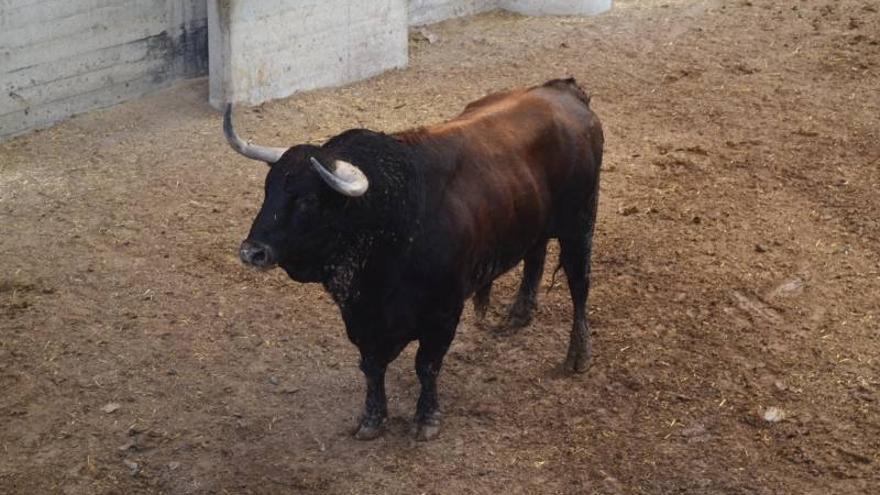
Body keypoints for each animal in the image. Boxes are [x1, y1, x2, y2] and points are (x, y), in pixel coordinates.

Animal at [223, 78, 600, 442]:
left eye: (308, 201)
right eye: (268, 190)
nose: (252, 251)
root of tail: (564, 90)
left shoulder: (444, 312)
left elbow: (426, 365)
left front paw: (427, 418)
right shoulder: (360, 316)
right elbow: (372, 366)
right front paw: (372, 419)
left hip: (579, 224)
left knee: (579, 285)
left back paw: (578, 354)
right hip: (535, 221)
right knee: (536, 255)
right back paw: (520, 314)